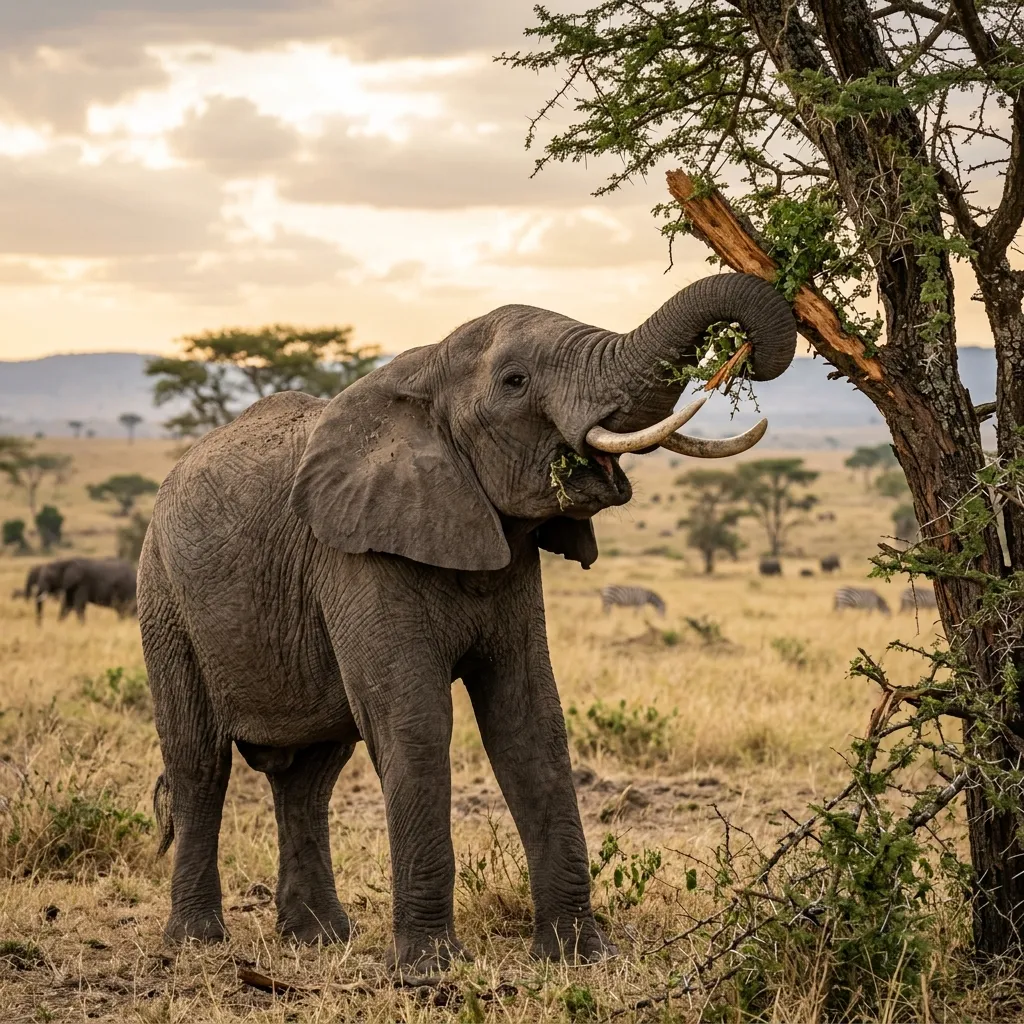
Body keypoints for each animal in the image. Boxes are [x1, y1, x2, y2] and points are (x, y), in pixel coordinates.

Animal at [138, 272, 797, 969]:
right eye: (514, 381)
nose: (746, 353)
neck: (425, 370)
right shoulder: (353, 554)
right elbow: (415, 721)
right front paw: (428, 971)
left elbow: (531, 721)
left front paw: (578, 957)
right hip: (164, 596)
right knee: (199, 762)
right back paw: (197, 941)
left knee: (310, 775)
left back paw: (320, 937)